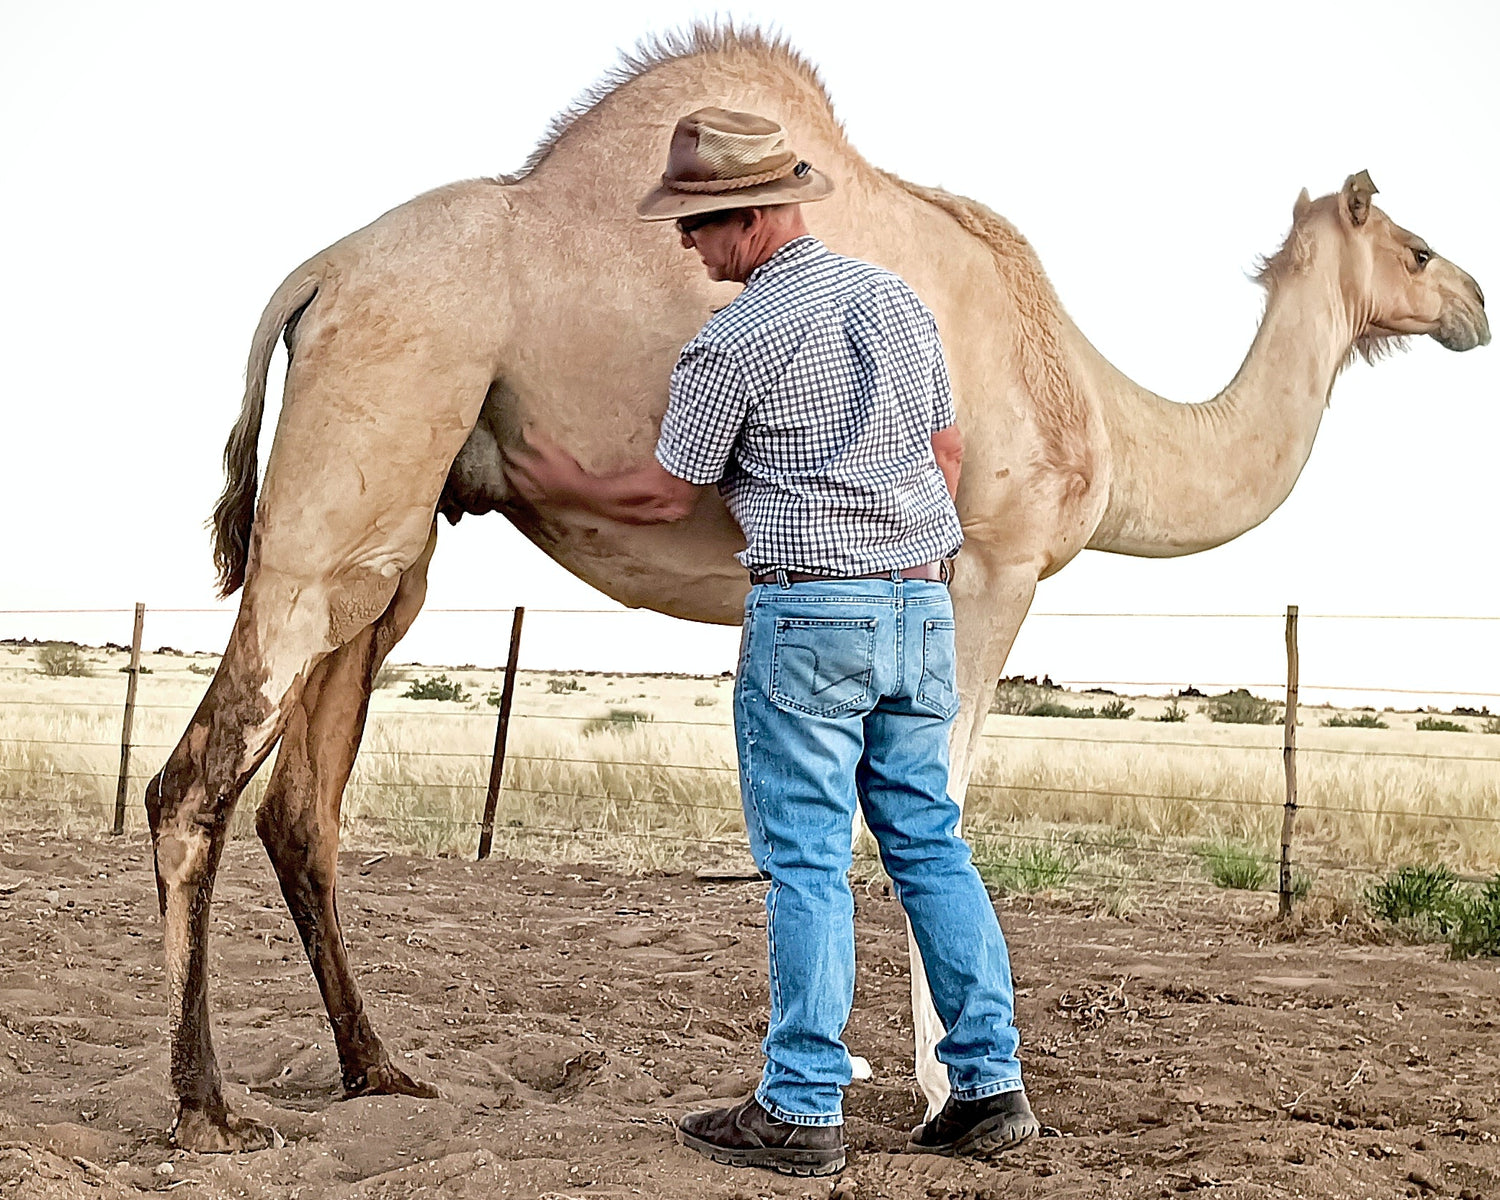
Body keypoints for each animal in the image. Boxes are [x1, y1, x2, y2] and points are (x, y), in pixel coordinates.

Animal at [144, 26, 1488, 1151]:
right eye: (1417, 247)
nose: (1475, 303)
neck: (1095, 407)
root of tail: (318, 275)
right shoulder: (986, 567)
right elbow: (932, 814)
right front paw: (955, 1093)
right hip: (356, 464)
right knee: (194, 783)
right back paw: (209, 1109)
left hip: (399, 541)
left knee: (303, 803)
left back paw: (378, 1072)